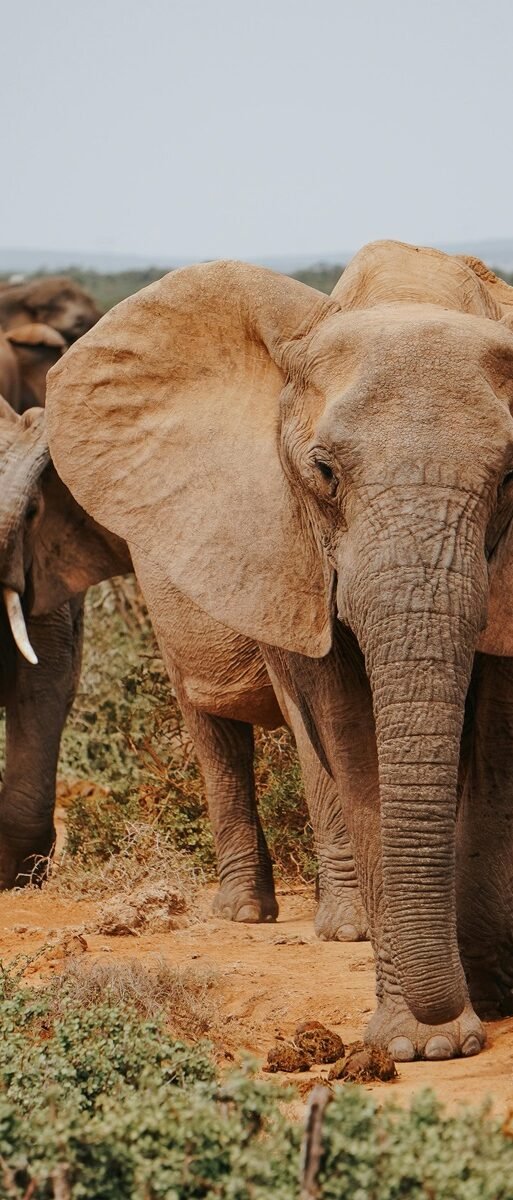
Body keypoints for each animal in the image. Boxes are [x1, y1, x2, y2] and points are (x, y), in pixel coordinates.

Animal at [45, 239, 513, 1062]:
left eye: (512, 477)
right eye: (323, 473)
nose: (448, 1019)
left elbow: (491, 737)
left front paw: (477, 1009)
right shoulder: (289, 546)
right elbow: (349, 742)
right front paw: (419, 1044)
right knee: (215, 733)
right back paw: (242, 913)